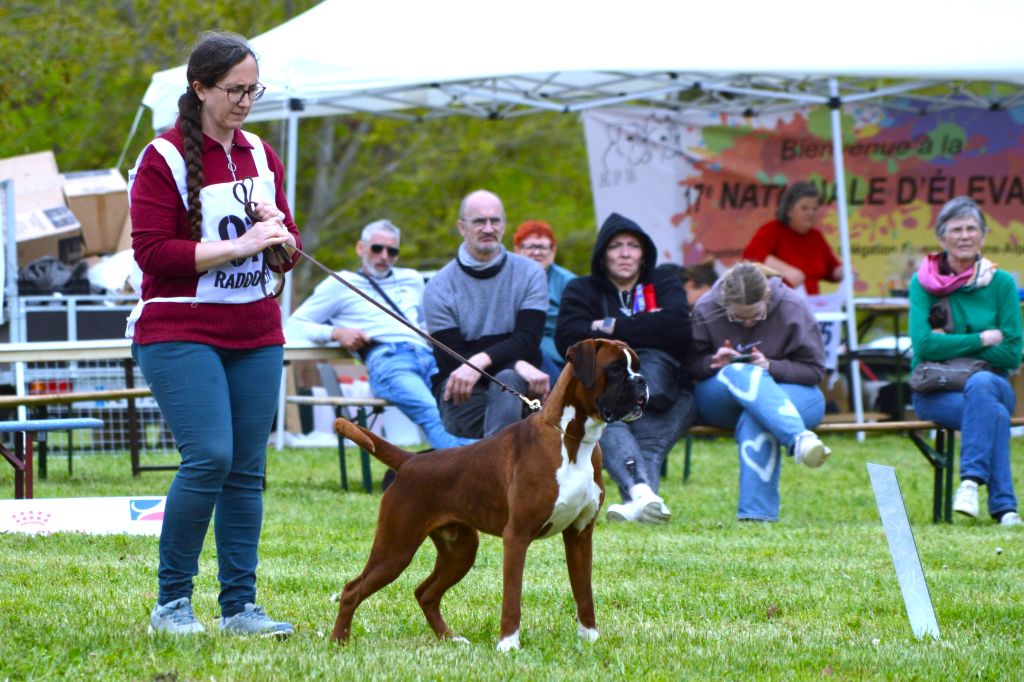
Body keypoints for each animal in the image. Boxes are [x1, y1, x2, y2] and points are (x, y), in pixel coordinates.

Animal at [329, 337, 647, 651]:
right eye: (616, 369)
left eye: (636, 365)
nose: (642, 381)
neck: (571, 440)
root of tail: (410, 461)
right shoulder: (517, 536)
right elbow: (512, 598)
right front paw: (508, 645)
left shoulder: (580, 535)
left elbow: (584, 593)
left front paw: (590, 639)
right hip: (396, 548)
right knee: (352, 590)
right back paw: (338, 641)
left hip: (460, 551)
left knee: (425, 593)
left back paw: (450, 638)